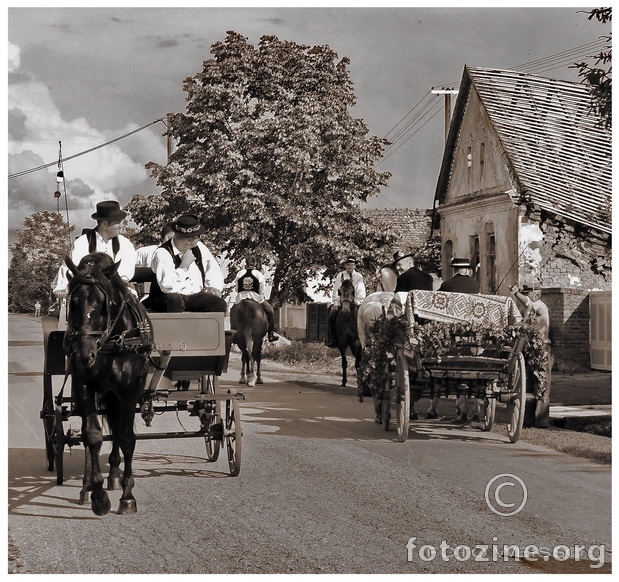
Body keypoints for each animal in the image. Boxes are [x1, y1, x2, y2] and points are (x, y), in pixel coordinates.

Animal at [64, 253, 154, 516]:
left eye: (104, 303)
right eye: (73, 303)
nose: (85, 354)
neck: (113, 342)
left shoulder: (131, 390)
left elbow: (126, 438)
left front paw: (127, 496)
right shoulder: (85, 386)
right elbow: (92, 436)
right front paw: (98, 496)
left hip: (116, 395)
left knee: (117, 430)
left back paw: (114, 476)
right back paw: (88, 487)